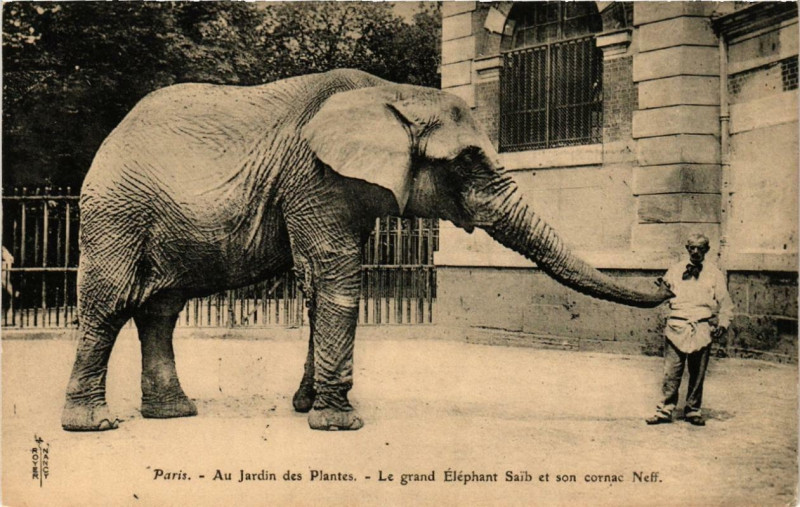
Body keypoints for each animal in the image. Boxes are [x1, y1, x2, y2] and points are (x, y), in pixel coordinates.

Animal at [61, 68, 673, 432]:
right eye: (469, 160)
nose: (668, 283)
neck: (391, 92)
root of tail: (110, 137)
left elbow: (321, 288)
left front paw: (308, 408)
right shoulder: (314, 176)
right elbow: (338, 280)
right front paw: (339, 424)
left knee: (160, 310)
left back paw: (174, 414)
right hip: (116, 211)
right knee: (110, 301)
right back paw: (93, 424)